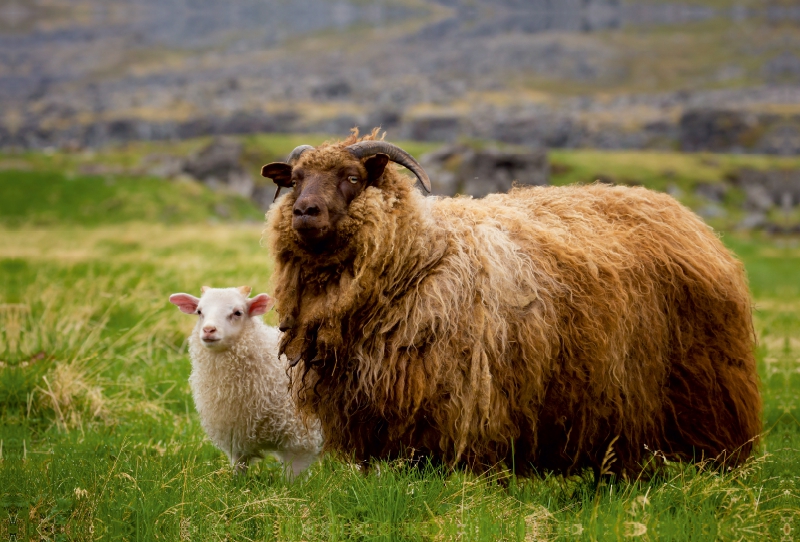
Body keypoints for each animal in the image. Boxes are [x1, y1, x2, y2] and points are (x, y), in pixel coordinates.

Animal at [168, 286, 322, 478]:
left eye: (237, 312)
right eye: (199, 312)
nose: (209, 330)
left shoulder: (301, 438)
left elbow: (292, 479)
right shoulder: (236, 437)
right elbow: (239, 470)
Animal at [260, 130, 764, 478]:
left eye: (352, 178)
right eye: (296, 181)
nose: (304, 212)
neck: (422, 258)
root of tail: (689, 219)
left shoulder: (467, 402)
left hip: (706, 392)